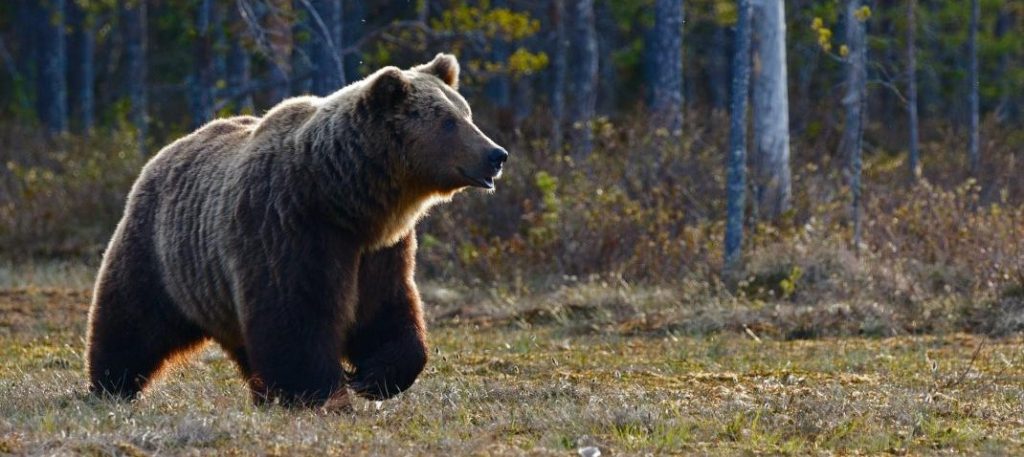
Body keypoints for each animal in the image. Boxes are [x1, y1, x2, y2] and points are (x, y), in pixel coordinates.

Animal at [86, 53, 505, 407]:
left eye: (466, 112)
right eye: (448, 122)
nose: (496, 154)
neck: (344, 199)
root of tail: (165, 152)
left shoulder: (380, 250)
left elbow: (386, 310)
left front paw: (373, 377)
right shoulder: (289, 227)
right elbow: (296, 316)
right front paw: (321, 393)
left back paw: (261, 394)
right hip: (161, 253)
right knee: (131, 319)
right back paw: (110, 385)